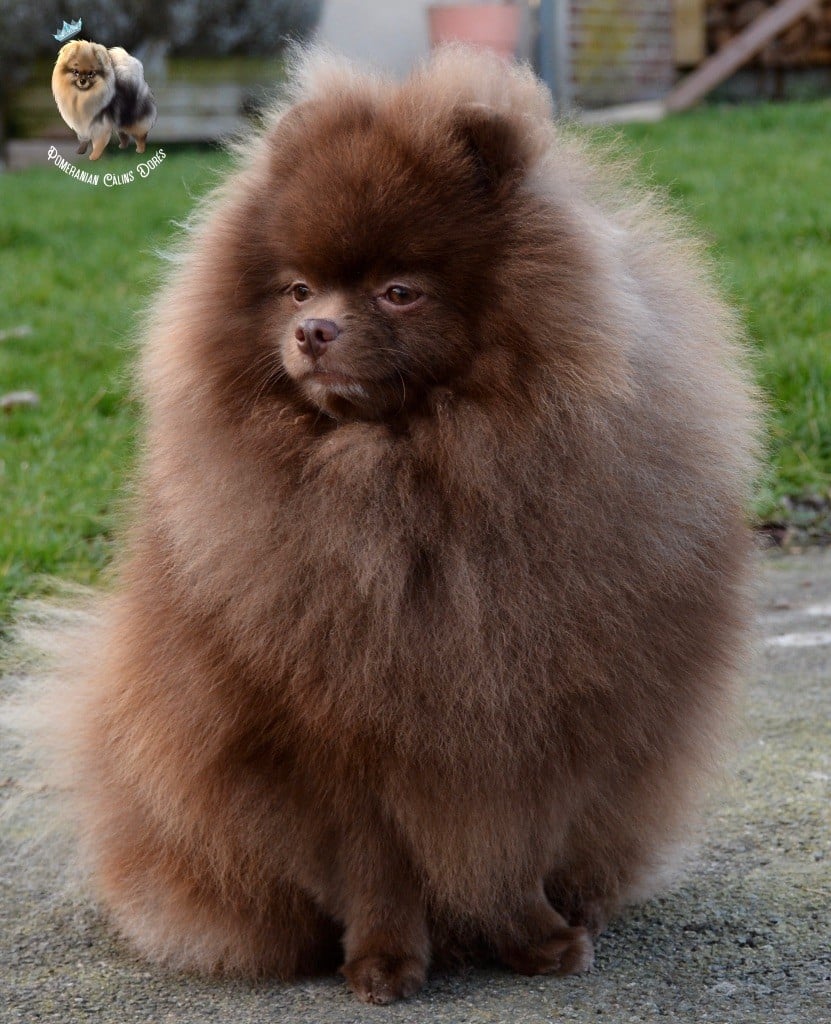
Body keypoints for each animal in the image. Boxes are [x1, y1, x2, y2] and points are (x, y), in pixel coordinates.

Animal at [45, 48, 761, 999]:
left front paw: (535, 939)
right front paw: (383, 964)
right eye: (298, 289)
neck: (403, 480)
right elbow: (374, 865)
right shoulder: (329, 739)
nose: (314, 329)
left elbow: (512, 851)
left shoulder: (540, 722)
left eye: (399, 292)